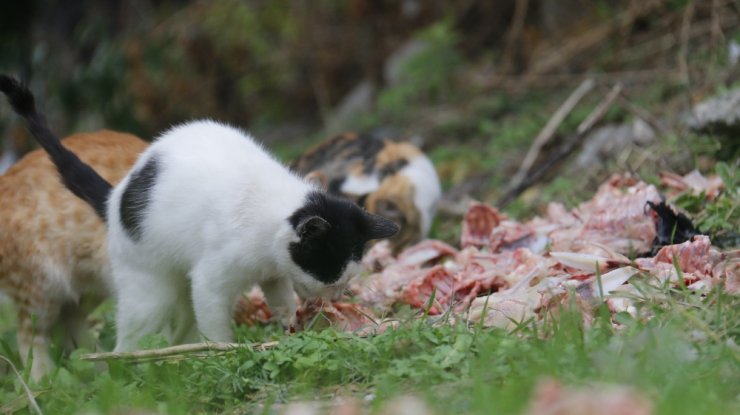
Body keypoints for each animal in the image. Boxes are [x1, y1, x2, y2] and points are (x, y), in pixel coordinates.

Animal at [0, 130, 146, 380]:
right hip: (41, 285)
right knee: (30, 337)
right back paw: (44, 381)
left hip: (89, 284)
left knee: (68, 323)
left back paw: (101, 368)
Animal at [1, 76, 398, 352]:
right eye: (330, 276)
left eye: (346, 280)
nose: (336, 297)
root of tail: (115, 196)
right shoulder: (211, 279)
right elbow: (216, 325)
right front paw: (225, 352)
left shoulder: (271, 274)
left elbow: (281, 299)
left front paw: (289, 326)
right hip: (149, 290)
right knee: (128, 339)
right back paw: (132, 366)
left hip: (179, 283)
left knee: (179, 327)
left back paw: (178, 354)